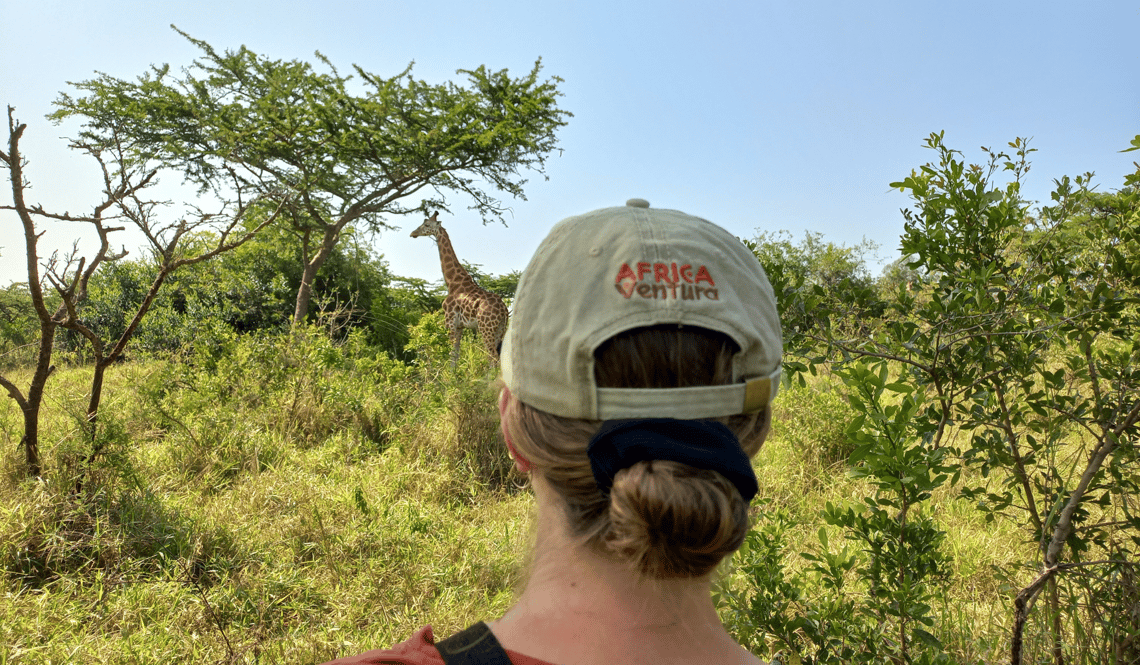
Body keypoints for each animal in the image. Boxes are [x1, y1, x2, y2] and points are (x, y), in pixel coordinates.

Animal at [412, 213, 510, 369]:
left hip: (486, 328)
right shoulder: (460, 326)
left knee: (493, 357)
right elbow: (456, 355)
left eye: (426, 225)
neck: (452, 282)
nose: (413, 233)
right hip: (500, 329)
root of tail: (504, 310)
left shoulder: (450, 322)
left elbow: (452, 355)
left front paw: (450, 376)